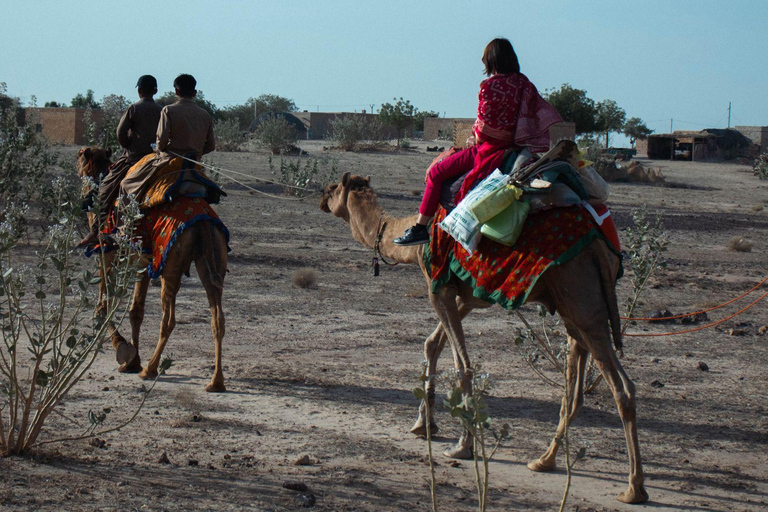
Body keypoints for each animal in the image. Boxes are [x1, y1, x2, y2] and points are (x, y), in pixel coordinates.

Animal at [76, 148, 230, 392]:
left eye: (79, 161)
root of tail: (203, 222)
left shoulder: (106, 256)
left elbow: (102, 307)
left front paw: (123, 349)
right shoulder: (142, 265)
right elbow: (135, 311)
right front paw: (132, 361)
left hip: (170, 265)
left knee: (168, 319)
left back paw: (150, 369)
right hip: (212, 259)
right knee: (218, 320)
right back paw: (216, 381)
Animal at [320, 172, 652, 504]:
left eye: (331, 189)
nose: (321, 199)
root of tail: (601, 246)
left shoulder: (437, 287)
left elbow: (462, 364)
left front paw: (462, 445)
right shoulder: (466, 295)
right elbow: (433, 345)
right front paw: (423, 424)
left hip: (581, 300)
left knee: (622, 389)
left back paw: (633, 488)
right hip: (576, 308)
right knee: (577, 389)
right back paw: (544, 460)